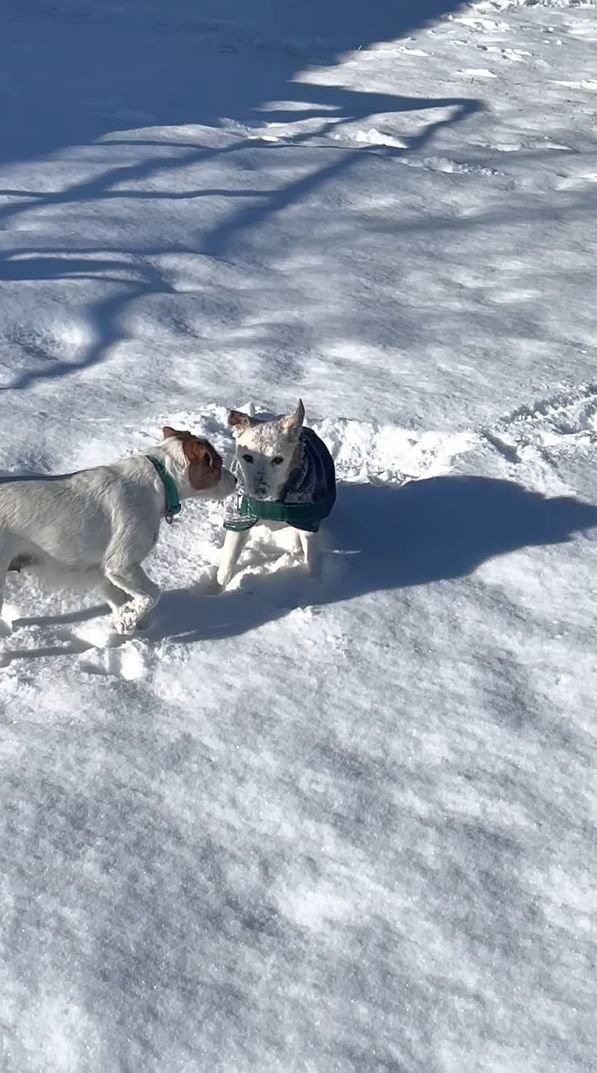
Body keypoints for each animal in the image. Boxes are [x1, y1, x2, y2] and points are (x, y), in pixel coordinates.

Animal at [0, 422, 235, 630]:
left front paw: (126, 622)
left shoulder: (105, 572)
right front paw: (131, 618)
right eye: (217, 463)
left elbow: (120, 600)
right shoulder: (122, 565)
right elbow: (152, 595)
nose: (236, 480)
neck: (160, 480)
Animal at [216, 401, 335, 592]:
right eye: (247, 457)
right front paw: (219, 590)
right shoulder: (239, 516)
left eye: (278, 460)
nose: (259, 491)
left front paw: (318, 583)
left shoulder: (306, 518)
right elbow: (228, 561)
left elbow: (313, 558)